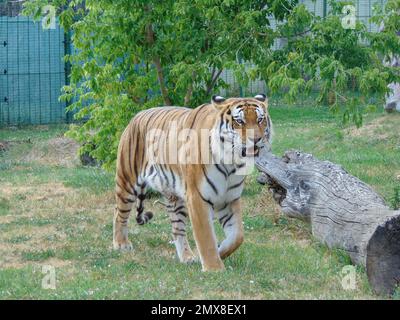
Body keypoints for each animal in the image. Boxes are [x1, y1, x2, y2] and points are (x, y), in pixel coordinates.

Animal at [114, 94, 274, 272]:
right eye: (239, 121)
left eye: (260, 120)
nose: (256, 139)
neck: (231, 163)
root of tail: (136, 116)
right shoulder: (197, 197)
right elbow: (206, 237)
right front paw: (214, 268)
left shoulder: (229, 198)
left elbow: (237, 236)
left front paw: (220, 251)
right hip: (127, 181)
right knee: (119, 213)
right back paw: (121, 244)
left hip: (175, 197)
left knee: (177, 229)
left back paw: (187, 257)